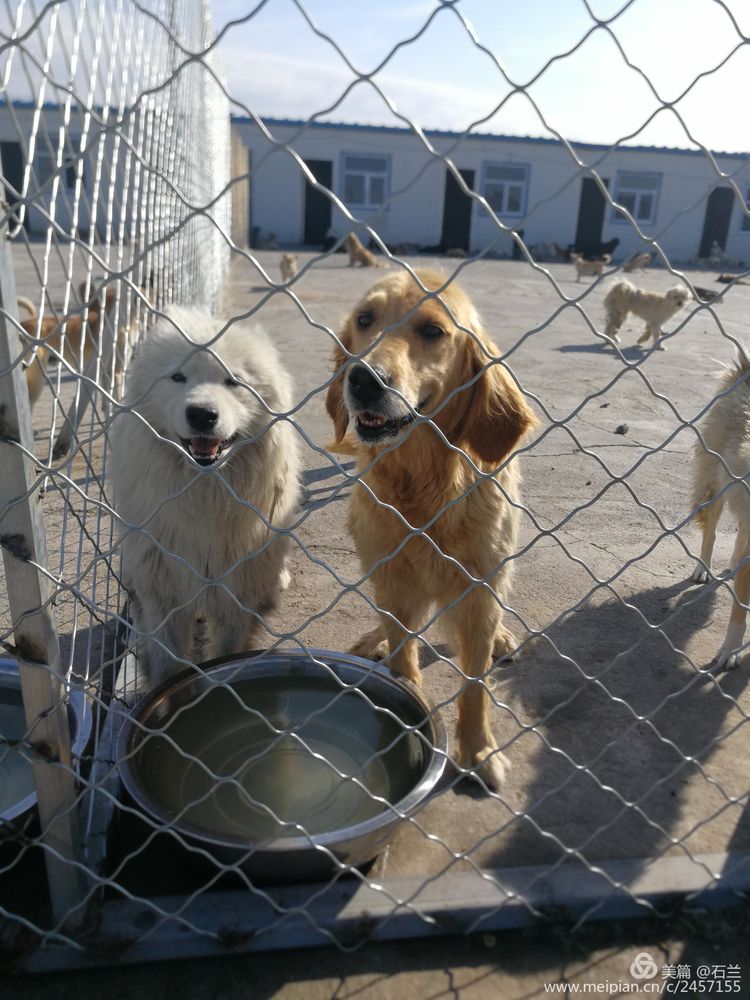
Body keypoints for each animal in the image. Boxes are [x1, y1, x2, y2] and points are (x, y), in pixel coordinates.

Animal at [111, 308, 300, 684]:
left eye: (234, 381)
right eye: (177, 377)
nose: (201, 414)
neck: (205, 492)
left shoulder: (238, 592)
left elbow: (227, 651)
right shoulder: (162, 590)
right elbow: (166, 661)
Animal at [326, 266, 536, 788]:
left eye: (433, 331)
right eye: (365, 319)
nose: (363, 379)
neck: (424, 487)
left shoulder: (479, 590)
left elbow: (475, 686)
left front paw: (478, 750)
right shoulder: (396, 586)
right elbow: (405, 664)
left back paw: (502, 638)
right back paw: (374, 640)